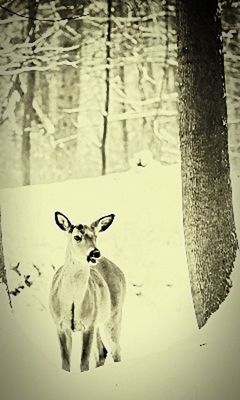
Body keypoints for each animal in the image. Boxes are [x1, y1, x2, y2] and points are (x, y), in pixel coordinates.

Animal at [49, 212, 126, 372]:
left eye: (95, 236)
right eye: (77, 237)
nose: (95, 252)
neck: (72, 299)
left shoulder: (89, 324)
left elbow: (84, 363)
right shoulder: (60, 325)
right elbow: (65, 364)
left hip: (114, 316)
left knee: (116, 350)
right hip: (100, 322)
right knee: (102, 352)